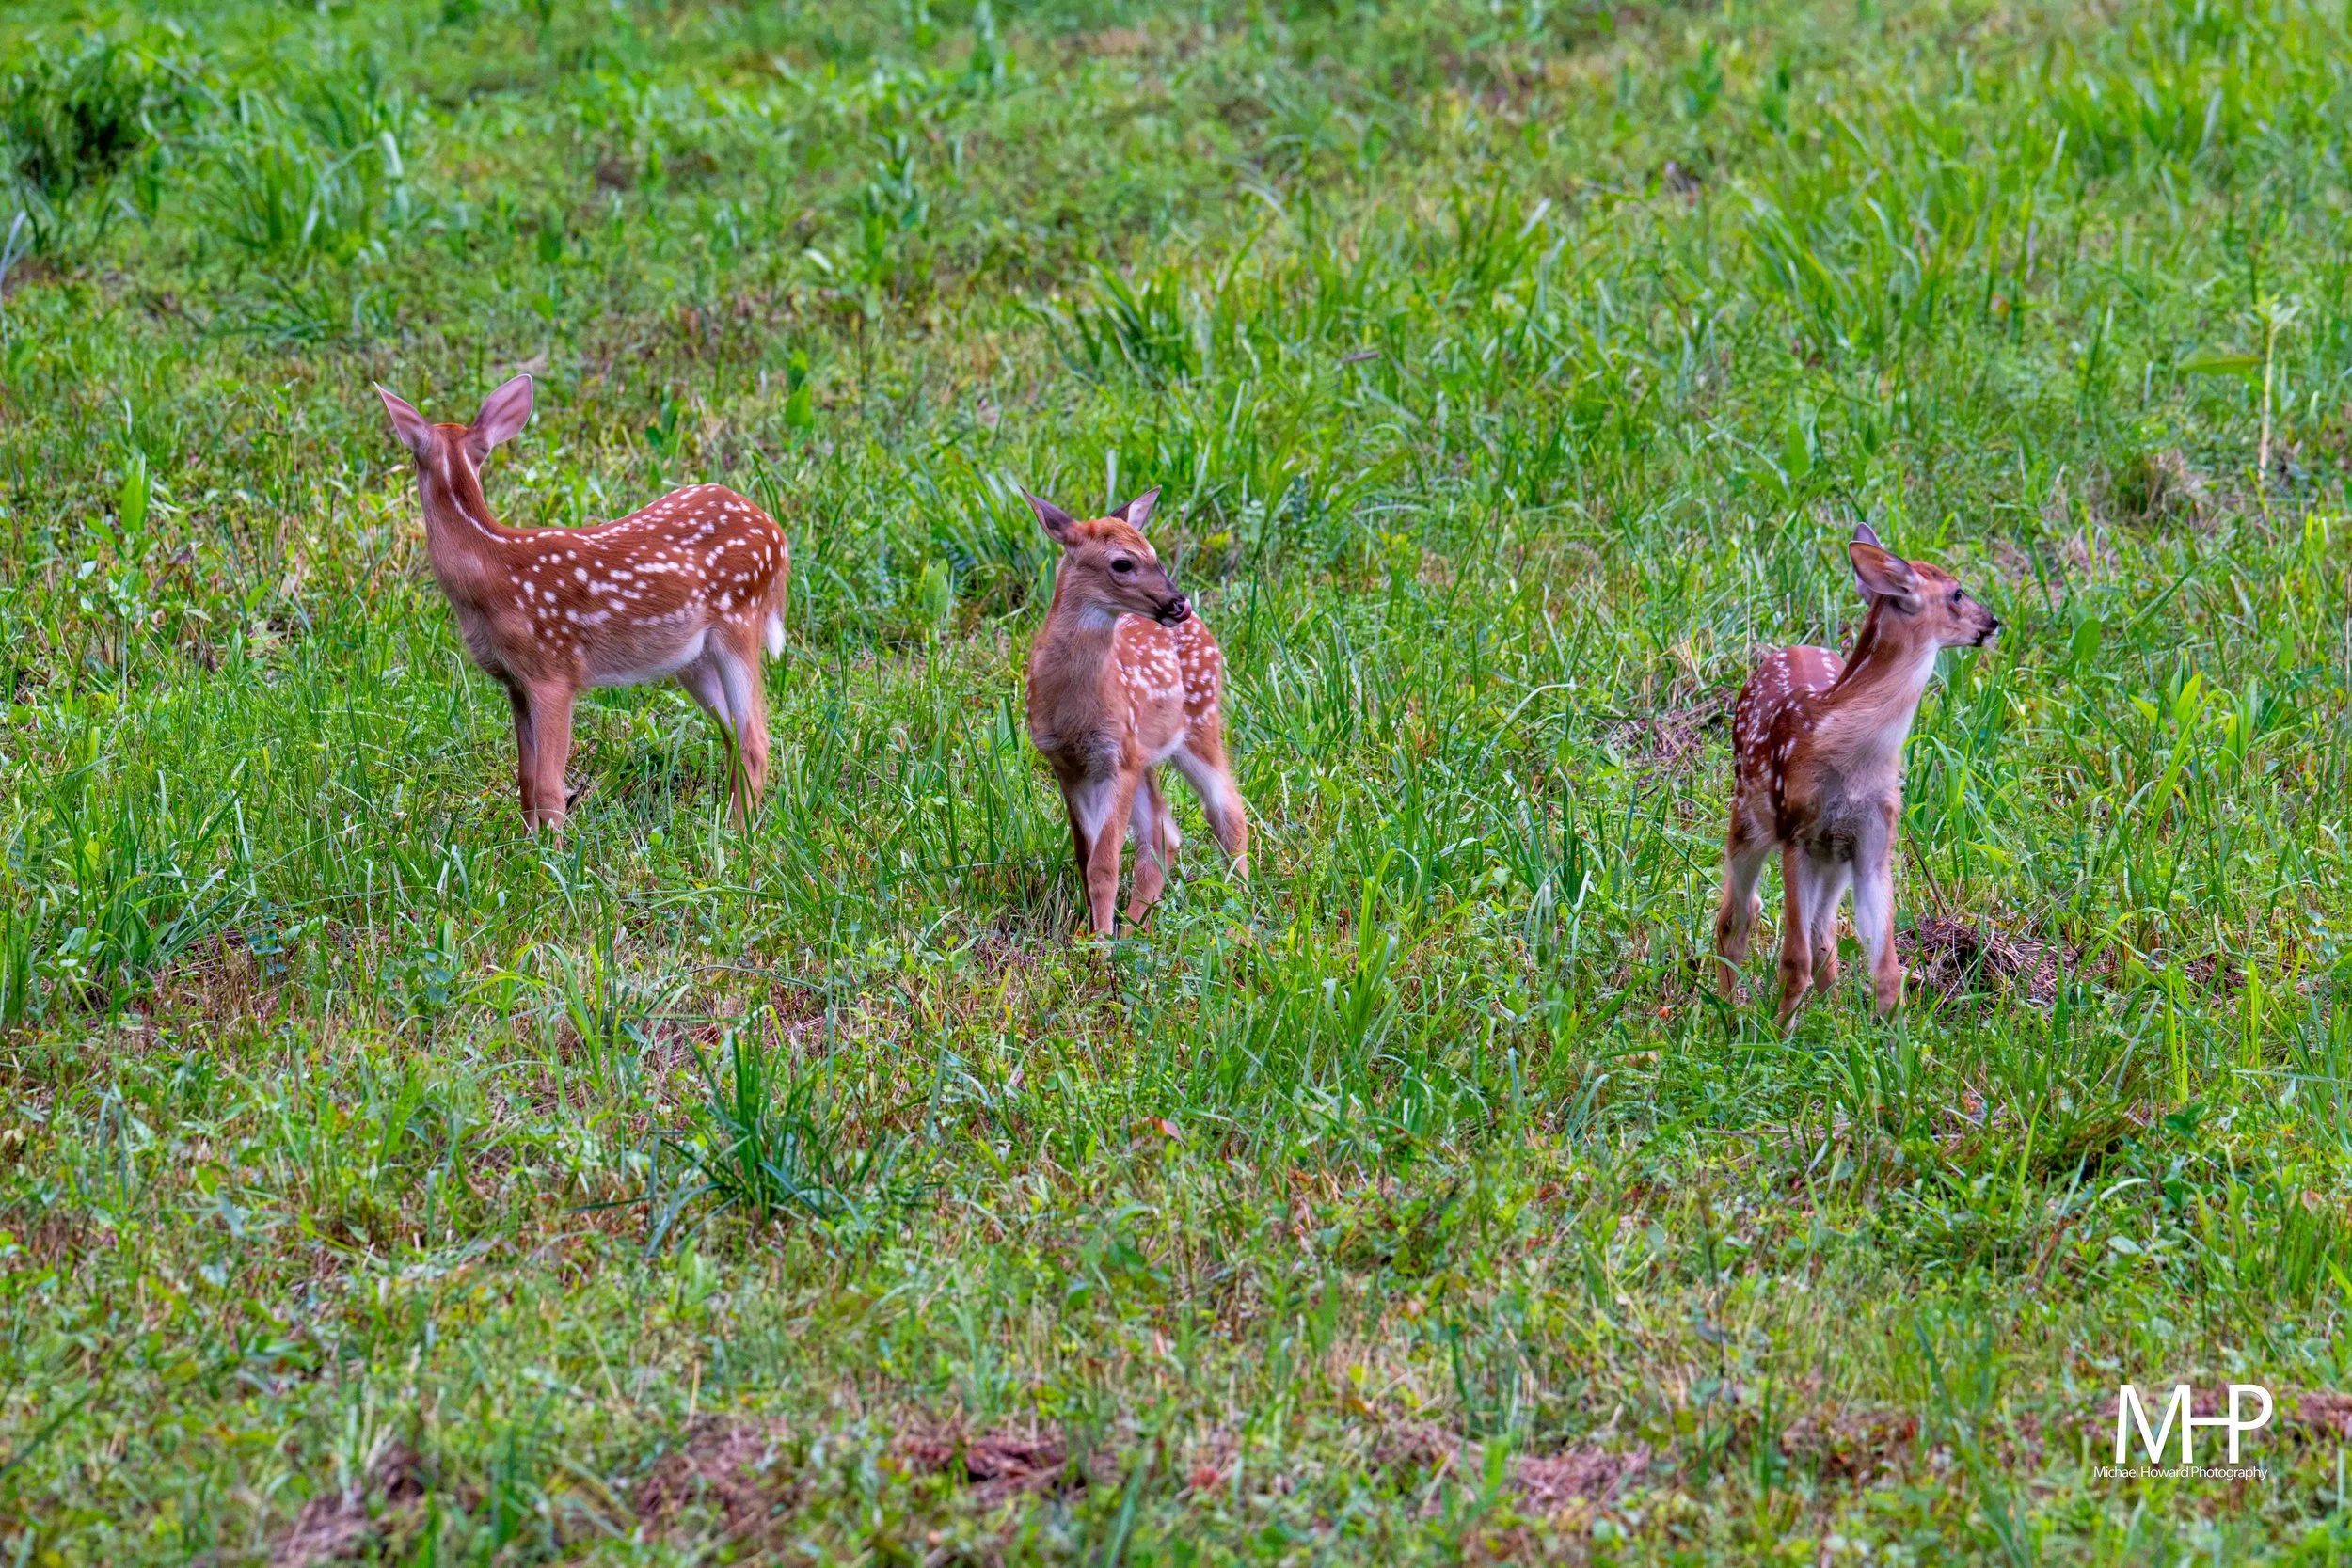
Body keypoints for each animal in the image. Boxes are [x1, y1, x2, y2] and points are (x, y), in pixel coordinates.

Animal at [374, 375, 789, 831]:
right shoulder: (514, 681)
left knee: (755, 739)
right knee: (732, 735)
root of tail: (778, 537)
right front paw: (527, 842)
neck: (492, 567)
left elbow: (549, 787)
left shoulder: (553, 671)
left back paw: (741, 835)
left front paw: (550, 848)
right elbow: (526, 779)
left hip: (740, 621)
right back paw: (726, 825)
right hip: (692, 660)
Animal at [1021, 487, 1248, 937]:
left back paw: (1243, 914)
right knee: (1165, 832)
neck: (1074, 708)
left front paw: (1100, 944)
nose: (1178, 603)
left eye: (1155, 554)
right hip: (1143, 754)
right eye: (1122, 563)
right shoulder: (1068, 763)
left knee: (1227, 810)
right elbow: (1084, 855)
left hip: (1199, 722)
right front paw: (1092, 934)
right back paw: (1135, 930)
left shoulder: (1115, 759)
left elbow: (1103, 865)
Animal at [1714, 523, 1999, 1027]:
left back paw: (1825, 1017)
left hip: (1833, 859)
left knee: (1823, 932)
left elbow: (1886, 971)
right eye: (1957, 592)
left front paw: (1893, 1041)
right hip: (1749, 815)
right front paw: (1776, 1036)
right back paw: (1730, 1011)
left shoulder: (1873, 845)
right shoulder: (1797, 829)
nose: (1994, 621)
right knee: (1738, 913)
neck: (1856, 761)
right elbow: (1794, 960)